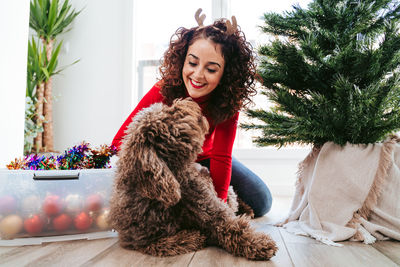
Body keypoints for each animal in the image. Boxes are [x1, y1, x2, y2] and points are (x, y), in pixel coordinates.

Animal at [109, 99, 278, 262]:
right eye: (170, 113)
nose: (189, 100)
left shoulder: (213, 211)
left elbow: (234, 227)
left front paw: (260, 244)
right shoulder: (140, 241)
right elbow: (165, 244)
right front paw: (195, 236)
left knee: (233, 199)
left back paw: (247, 210)